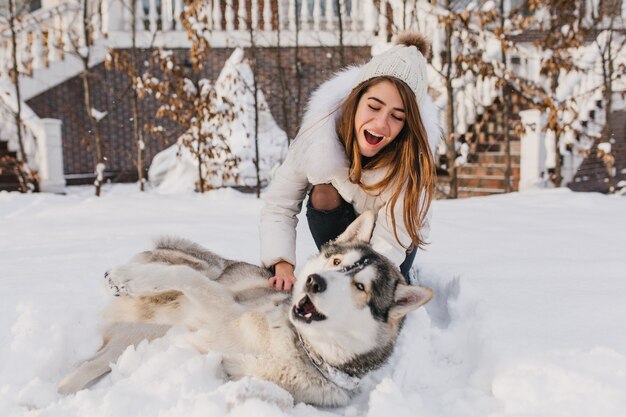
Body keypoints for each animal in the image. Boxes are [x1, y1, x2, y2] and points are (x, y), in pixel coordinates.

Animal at [57, 211, 428, 406]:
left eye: (361, 287)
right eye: (337, 262)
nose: (314, 282)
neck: (296, 344)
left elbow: (281, 397)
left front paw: (244, 392)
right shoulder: (216, 304)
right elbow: (185, 278)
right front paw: (126, 277)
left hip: (135, 339)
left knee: (85, 367)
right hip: (182, 292)